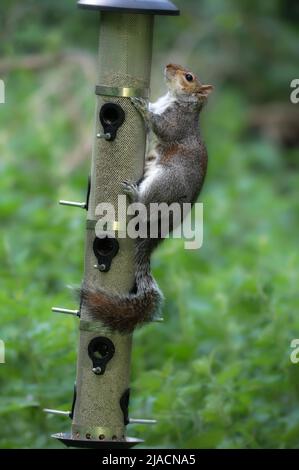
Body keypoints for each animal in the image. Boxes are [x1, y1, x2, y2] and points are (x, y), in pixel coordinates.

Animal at [82, 63, 213, 334]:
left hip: (163, 183)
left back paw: (134, 194)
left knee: (144, 205)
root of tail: (158, 229)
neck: (175, 99)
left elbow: (161, 126)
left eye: (189, 77)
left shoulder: (177, 123)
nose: (169, 65)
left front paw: (143, 107)